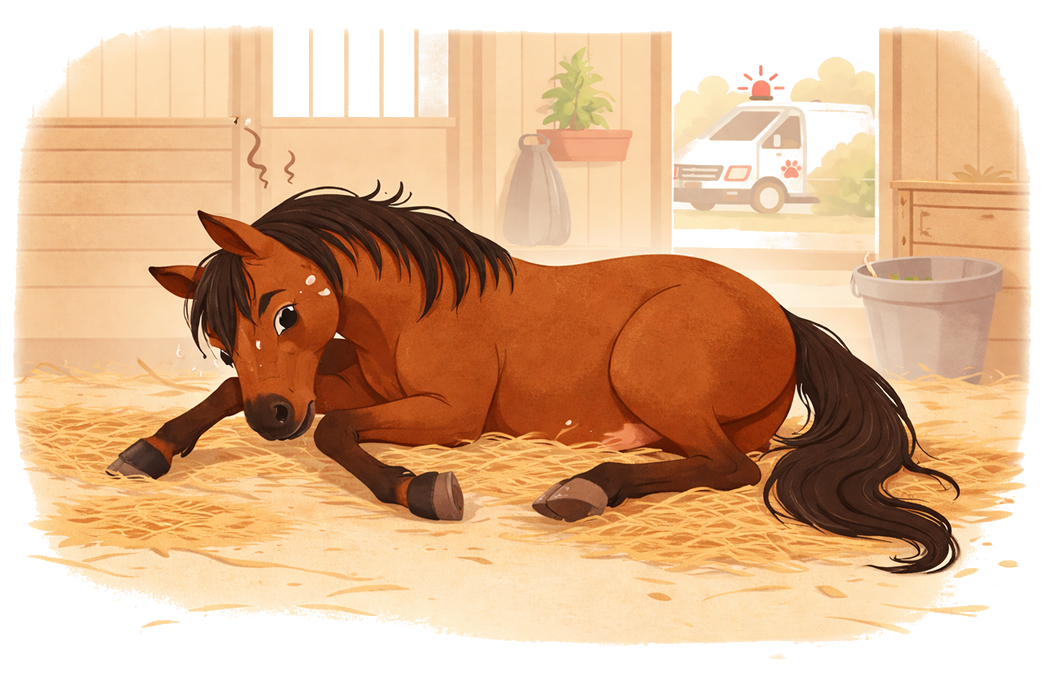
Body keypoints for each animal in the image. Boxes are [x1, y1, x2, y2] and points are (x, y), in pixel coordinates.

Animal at [108, 184, 960, 574]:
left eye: (286, 313)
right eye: (223, 340)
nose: (273, 418)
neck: (416, 304)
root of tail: (782, 314)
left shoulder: (449, 412)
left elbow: (336, 433)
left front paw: (424, 490)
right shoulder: (355, 383)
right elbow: (252, 404)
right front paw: (148, 451)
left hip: (651, 372)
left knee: (731, 469)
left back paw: (580, 490)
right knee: (708, 459)